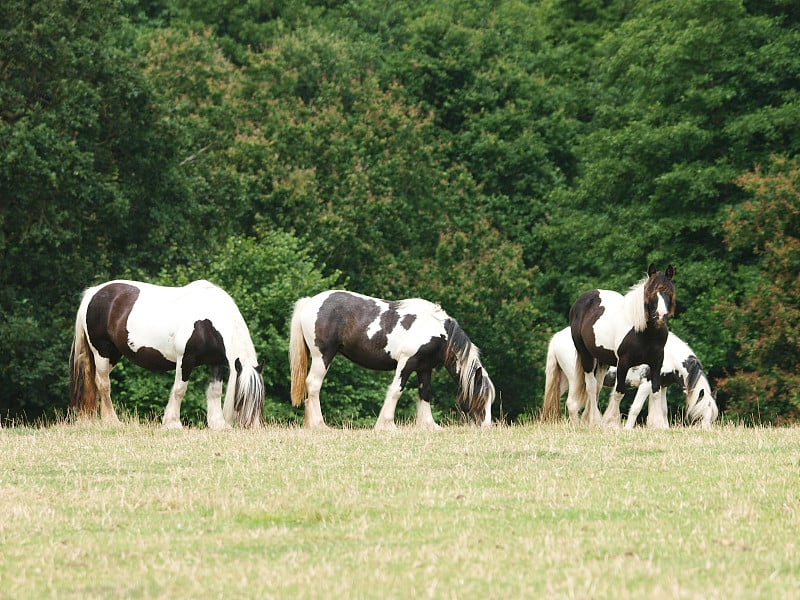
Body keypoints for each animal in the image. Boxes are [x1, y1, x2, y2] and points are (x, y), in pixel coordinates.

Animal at [70, 278, 264, 428]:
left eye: (260, 399)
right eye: (242, 398)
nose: (251, 427)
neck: (208, 322)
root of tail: (93, 293)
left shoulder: (215, 362)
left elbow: (215, 391)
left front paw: (218, 424)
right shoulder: (185, 360)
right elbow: (179, 390)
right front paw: (173, 423)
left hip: (113, 355)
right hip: (102, 352)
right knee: (103, 384)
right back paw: (112, 421)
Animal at [290, 292, 496, 428]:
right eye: (480, 398)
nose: (486, 426)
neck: (435, 329)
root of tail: (310, 302)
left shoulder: (425, 368)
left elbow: (425, 393)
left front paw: (429, 426)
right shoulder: (407, 363)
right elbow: (396, 390)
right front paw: (387, 425)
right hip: (322, 356)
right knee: (313, 385)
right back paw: (319, 425)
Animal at [564, 262, 672, 426]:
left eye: (669, 292)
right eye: (651, 292)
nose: (660, 316)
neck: (643, 332)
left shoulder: (657, 362)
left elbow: (655, 391)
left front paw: (659, 425)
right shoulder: (623, 363)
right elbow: (618, 392)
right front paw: (612, 423)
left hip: (602, 361)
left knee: (597, 387)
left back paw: (588, 420)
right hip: (586, 356)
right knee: (591, 386)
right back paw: (595, 420)